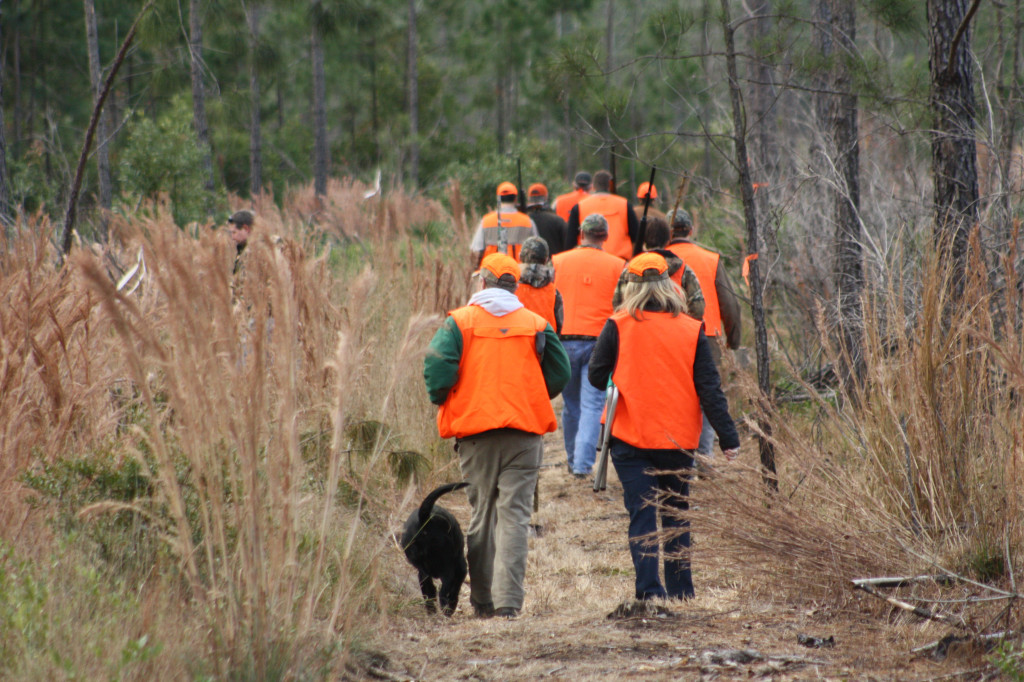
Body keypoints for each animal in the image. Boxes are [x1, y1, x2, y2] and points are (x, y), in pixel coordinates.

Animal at [401, 477, 468, 614]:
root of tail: (424, 519)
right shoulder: (460, 568)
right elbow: (454, 587)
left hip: (420, 565)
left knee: (429, 588)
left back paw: (432, 610)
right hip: (446, 563)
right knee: (445, 589)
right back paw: (446, 609)